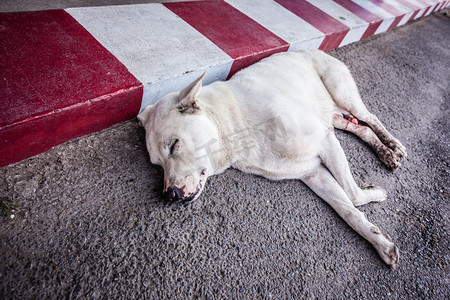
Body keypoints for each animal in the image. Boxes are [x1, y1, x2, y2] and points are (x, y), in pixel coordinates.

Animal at [138, 50, 408, 268]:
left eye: (175, 145)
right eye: (157, 165)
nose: (169, 195)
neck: (236, 127)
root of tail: (315, 50)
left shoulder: (324, 140)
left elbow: (353, 195)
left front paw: (377, 195)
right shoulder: (312, 172)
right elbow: (348, 210)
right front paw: (381, 244)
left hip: (343, 94)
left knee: (370, 118)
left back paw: (394, 146)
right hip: (333, 117)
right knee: (360, 128)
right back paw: (386, 153)